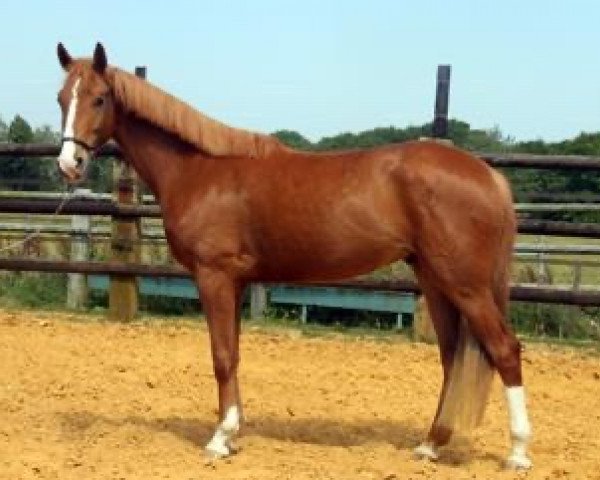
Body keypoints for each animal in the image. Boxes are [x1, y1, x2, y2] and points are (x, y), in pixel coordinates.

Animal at [54, 43, 532, 466]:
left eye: (99, 98)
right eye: (61, 98)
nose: (69, 163)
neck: (200, 170)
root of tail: (489, 176)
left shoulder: (214, 277)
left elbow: (221, 356)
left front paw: (219, 440)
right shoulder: (236, 283)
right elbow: (234, 354)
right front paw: (232, 434)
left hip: (465, 284)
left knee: (505, 350)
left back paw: (518, 452)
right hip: (436, 281)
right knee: (452, 358)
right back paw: (431, 445)